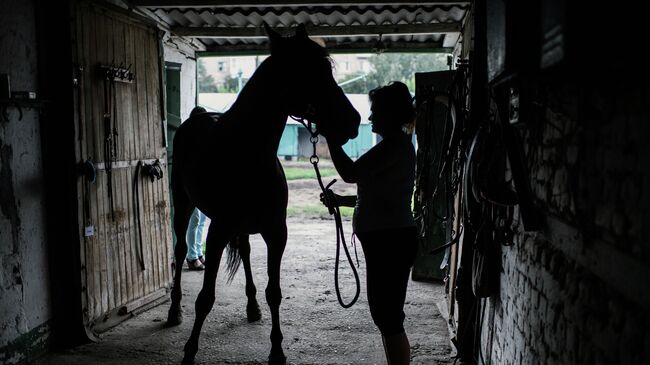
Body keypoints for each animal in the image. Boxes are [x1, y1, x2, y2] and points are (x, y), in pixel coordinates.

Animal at [166, 23, 360, 364]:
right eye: (305, 69)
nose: (353, 120)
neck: (247, 154)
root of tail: (198, 115)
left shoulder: (276, 232)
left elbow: (275, 292)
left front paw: (277, 350)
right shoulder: (217, 232)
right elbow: (205, 297)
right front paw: (189, 351)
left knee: (244, 252)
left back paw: (252, 306)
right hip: (185, 203)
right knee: (179, 251)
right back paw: (174, 311)